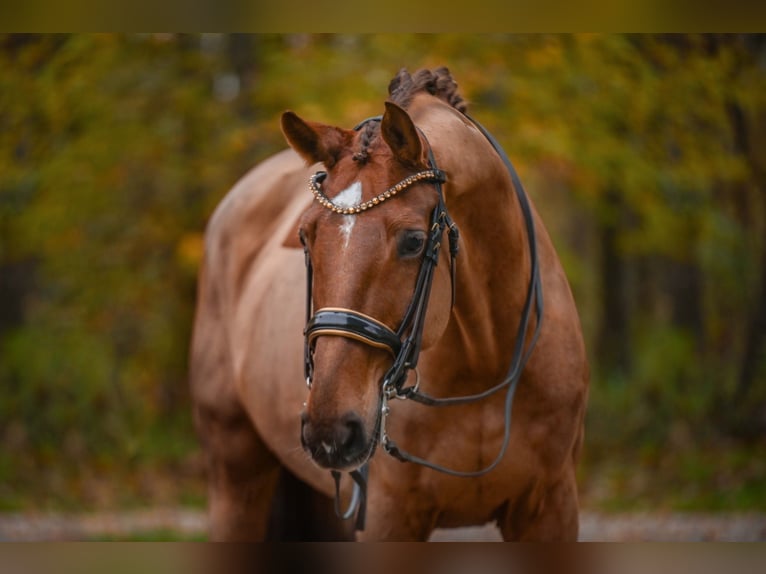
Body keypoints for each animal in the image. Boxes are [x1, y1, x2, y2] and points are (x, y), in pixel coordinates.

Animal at [190, 68, 588, 544]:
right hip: (235, 480)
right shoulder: (387, 514)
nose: (330, 430)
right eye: (305, 236)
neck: (485, 364)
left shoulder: (550, 507)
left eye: (414, 241)